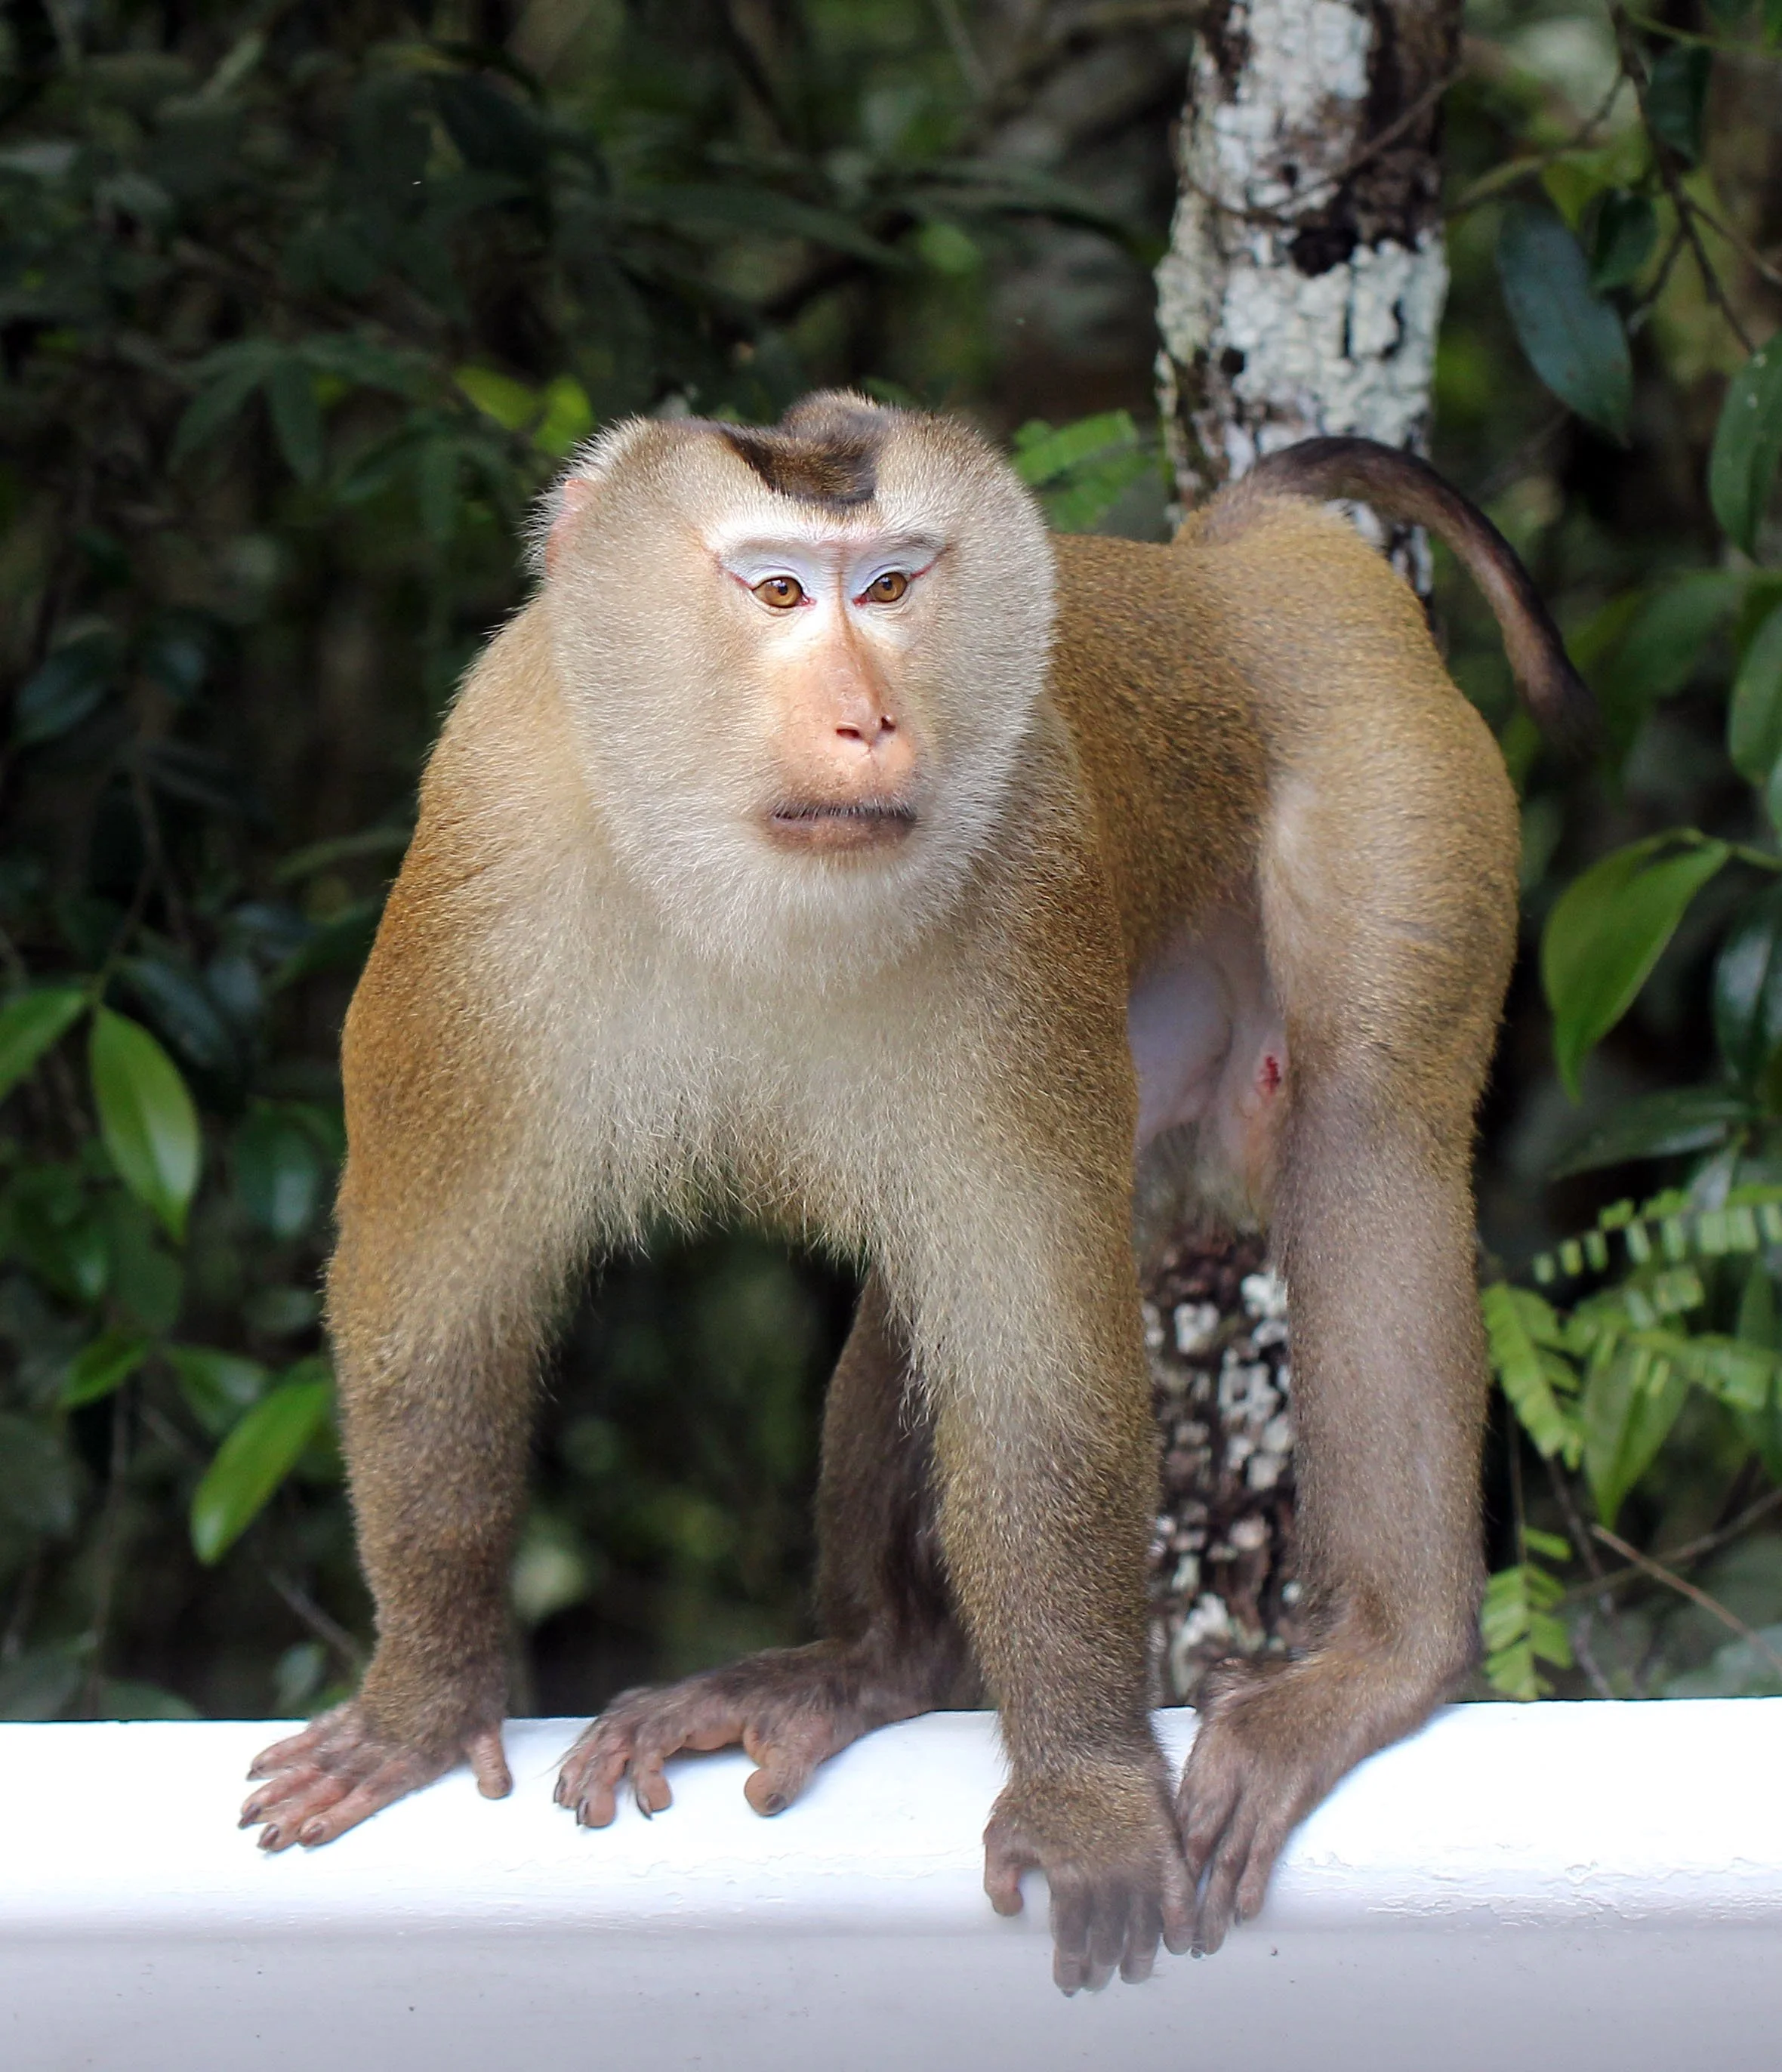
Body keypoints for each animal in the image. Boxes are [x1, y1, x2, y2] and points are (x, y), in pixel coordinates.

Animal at [239, 393, 1591, 1995]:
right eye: (777, 590)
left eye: (888, 587)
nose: (870, 720)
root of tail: (1226, 560)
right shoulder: (484, 831)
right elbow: (441, 1287)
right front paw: (425, 1700)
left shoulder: (1025, 878)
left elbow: (1035, 1362)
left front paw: (1083, 1792)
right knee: (923, 1283)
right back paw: (874, 1663)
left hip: (1396, 765)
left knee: (1366, 1138)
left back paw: (1383, 1658)